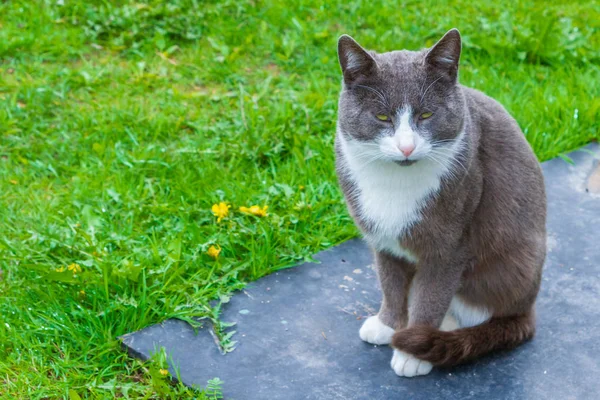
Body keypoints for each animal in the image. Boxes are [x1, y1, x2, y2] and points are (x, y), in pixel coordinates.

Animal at [336, 29, 548, 376]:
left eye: (426, 115)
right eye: (382, 116)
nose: (406, 148)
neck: (396, 182)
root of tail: (527, 311)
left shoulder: (449, 247)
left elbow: (431, 296)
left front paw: (411, 353)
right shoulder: (383, 240)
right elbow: (390, 284)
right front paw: (387, 325)